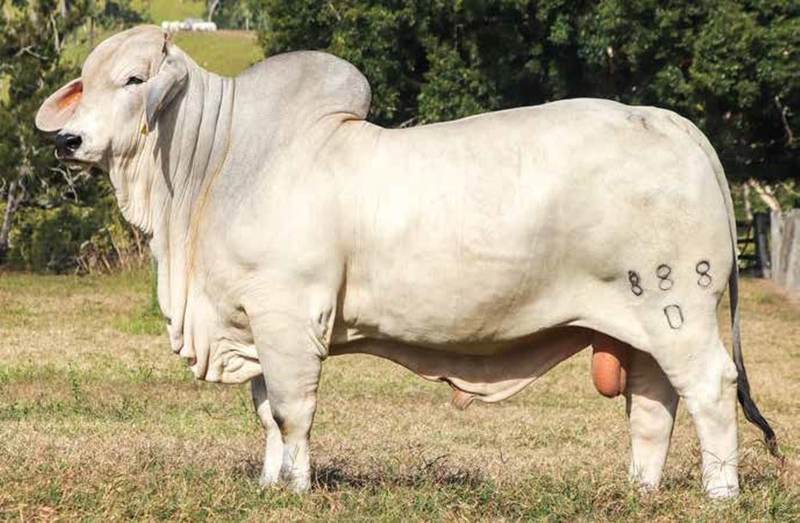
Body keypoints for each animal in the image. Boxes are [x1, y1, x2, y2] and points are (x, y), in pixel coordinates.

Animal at [36, 25, 777, 498]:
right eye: (86, 84)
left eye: (134, 79)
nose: (67, 140)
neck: (215, 165)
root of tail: (671, 122)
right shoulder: (251, 322)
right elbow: (266, 411)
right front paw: (269, 482)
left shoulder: (287, 315)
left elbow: (293, 410)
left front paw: (297, 487)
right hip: (640, 325)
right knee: (653, 403)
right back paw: (641, 489)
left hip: (678, 306)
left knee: (709, 388)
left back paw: (720, 491)